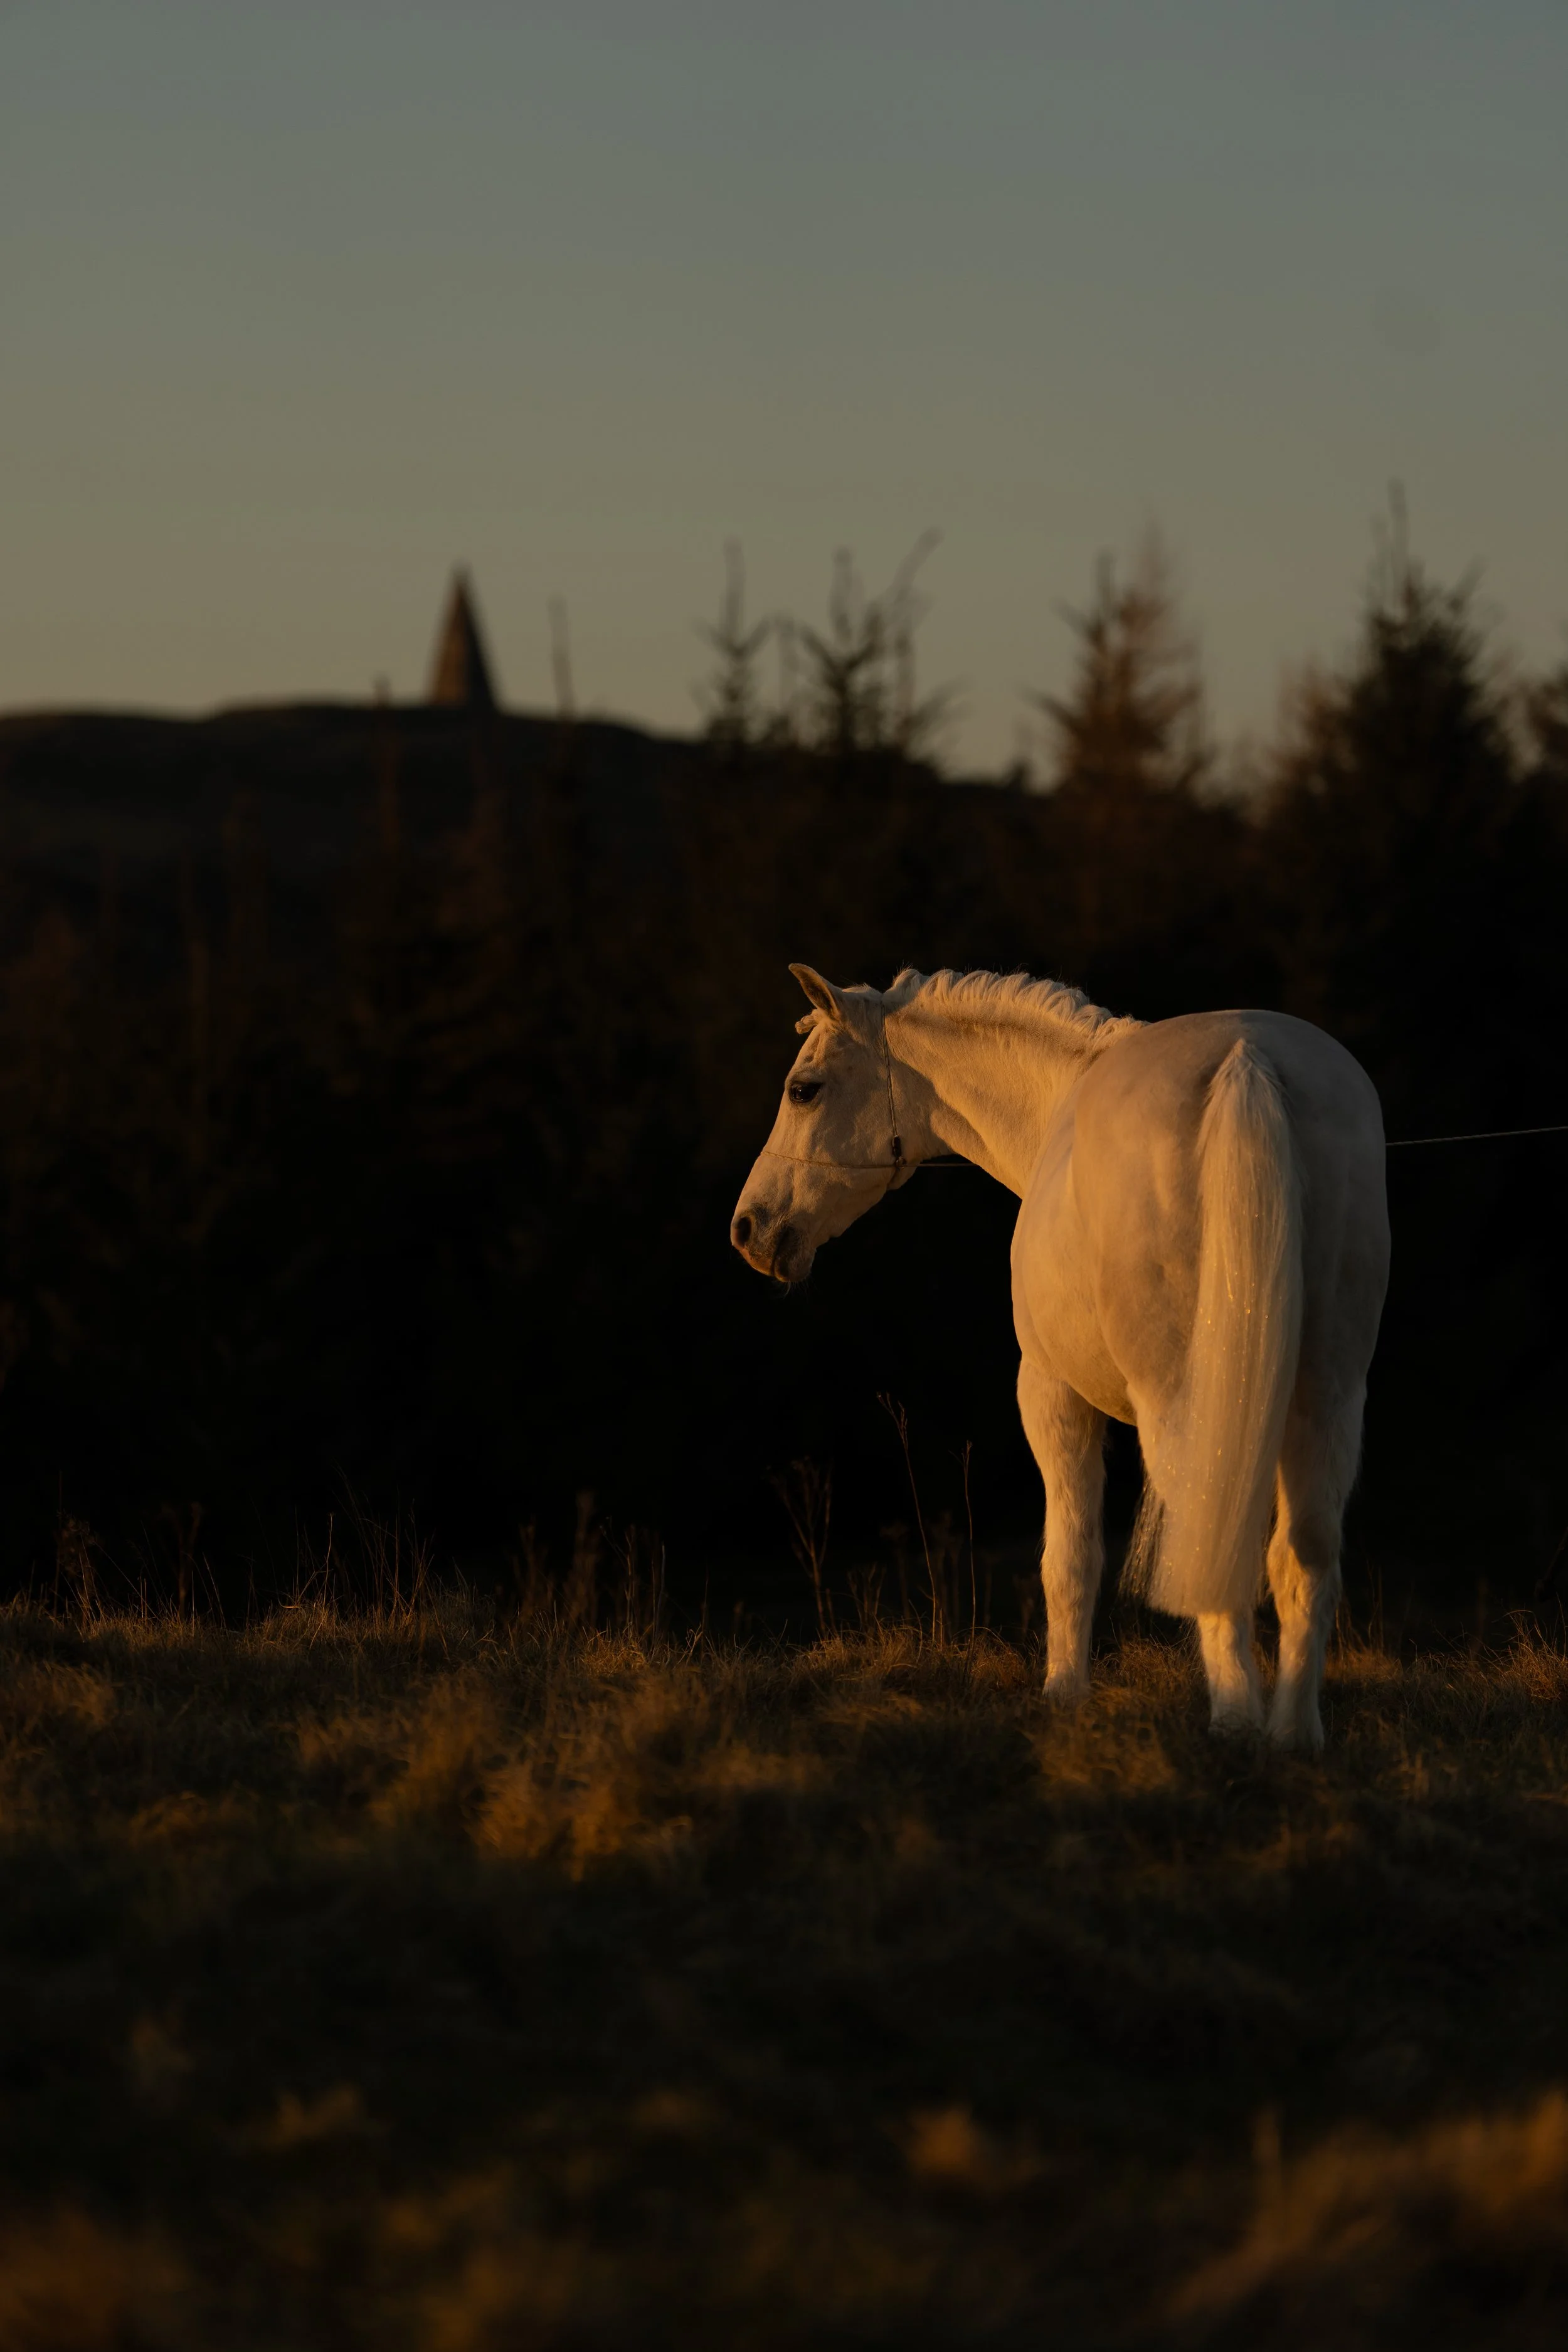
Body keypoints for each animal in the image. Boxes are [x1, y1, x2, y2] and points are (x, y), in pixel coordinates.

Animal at [731, 965, 1390, 1750]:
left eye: (804, 1089)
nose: (748, 1228)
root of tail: (1248, 1057)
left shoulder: (1050, 1395)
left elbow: (1069, 1558)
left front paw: (1064, 1695)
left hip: (1184, 1401)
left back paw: (1233, 1718)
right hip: (1327, 1394)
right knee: (1305, 1554)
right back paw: (1294, 1733)